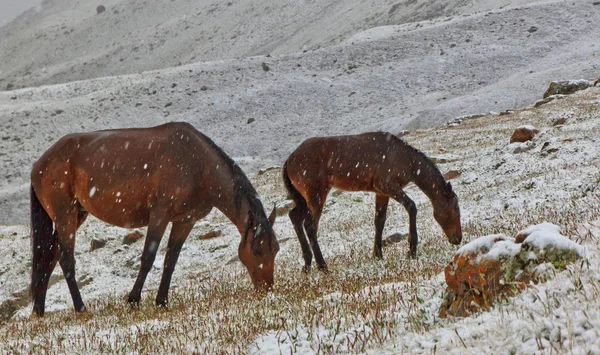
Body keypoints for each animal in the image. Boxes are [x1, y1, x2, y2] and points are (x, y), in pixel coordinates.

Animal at [30, 122, 278, 318]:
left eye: (274, 249)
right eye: (256, 250)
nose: (267, 289)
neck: (198, 165)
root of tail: (40, 164)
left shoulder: (185, 221)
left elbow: (170, 261)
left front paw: (162, 301)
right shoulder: (160, 216)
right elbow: (148, 258)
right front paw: (134, 300)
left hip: (76, 215)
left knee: (49, 256)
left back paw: (39, 309)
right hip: (65, 216)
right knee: (65, 259)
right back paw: (80, 307)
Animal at [284, 132, 462, 272]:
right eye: (455, 208)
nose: (458, 239)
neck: (407, 161)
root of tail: (288, 161)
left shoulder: (381, 192)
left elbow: (379, 221)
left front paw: (377, 254)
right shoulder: (387, 185)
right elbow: (411, 207)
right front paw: (411, 250)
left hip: (302, 198)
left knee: (294, 216)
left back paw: (307, 264)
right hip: (316, 194)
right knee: (310, 225)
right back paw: (323, 266)